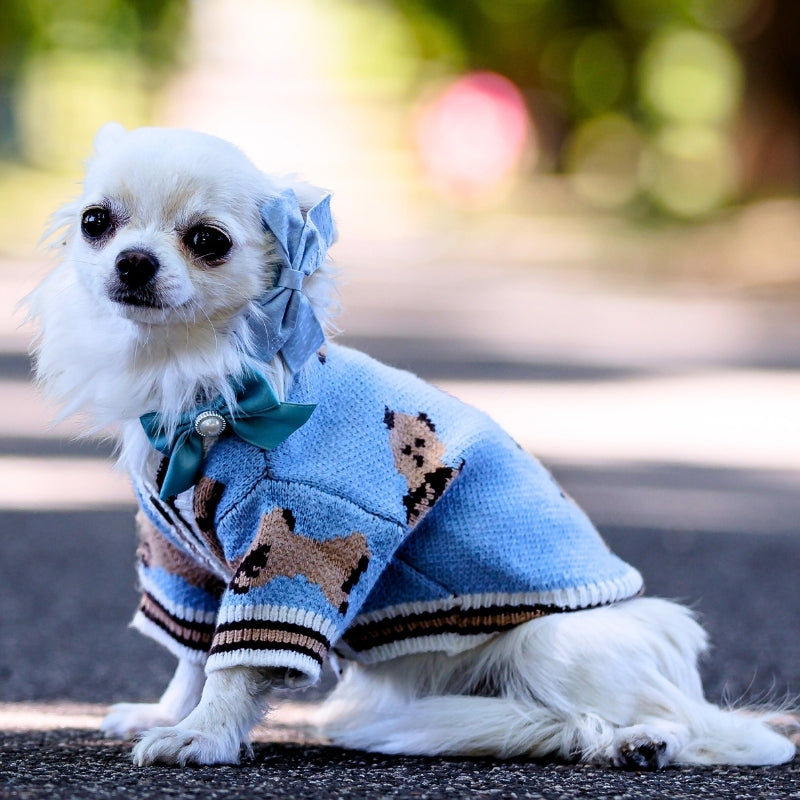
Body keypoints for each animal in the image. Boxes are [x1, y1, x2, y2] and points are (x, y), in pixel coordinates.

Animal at [26, 123, 800, 768]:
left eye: (207, 241)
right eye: (97, 222)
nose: (133, 261)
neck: (202, 389)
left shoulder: (293, 553)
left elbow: (235, 666)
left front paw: (203, 737)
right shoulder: (187, 565)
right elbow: (191, 658)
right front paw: (168, 714)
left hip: (553, 644)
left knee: (700, 728)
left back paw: (643, 741)